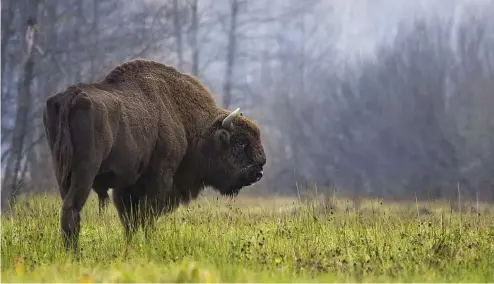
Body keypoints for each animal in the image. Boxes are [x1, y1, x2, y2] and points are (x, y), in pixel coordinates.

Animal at [42, 58, 266, 250]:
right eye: (240, 142)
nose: (259, 169)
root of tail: (71, 97)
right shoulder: (159, 179)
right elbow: (146, 217)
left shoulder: (127, 187)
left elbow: (131, 221)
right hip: (85, 172)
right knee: (72, 208)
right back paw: (74, 253)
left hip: (62, 173)